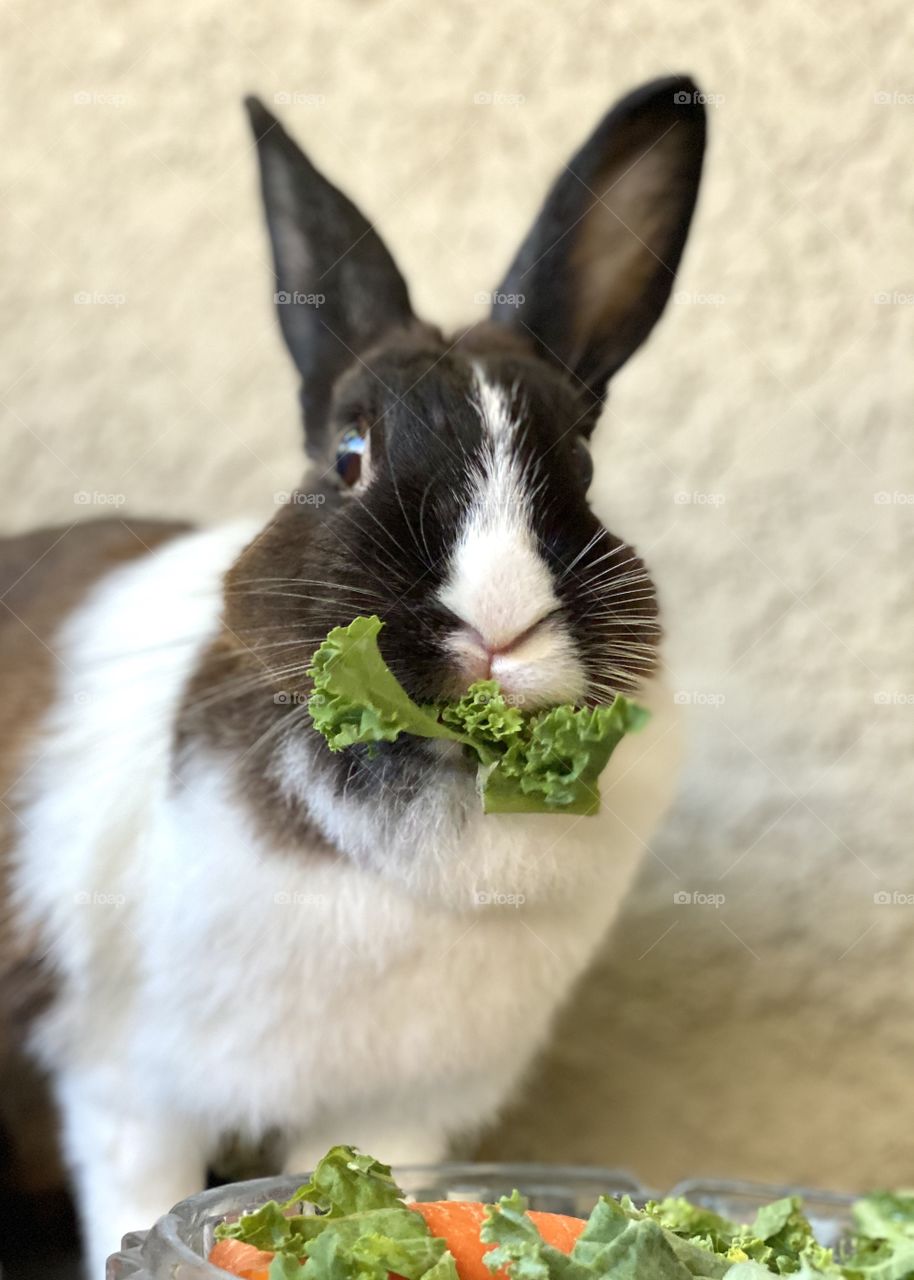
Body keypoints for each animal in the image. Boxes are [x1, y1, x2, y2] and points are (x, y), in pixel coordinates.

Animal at [0, 73, 705, 1277]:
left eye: (581, 465)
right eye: (348, 454)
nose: (498, 624)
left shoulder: (396, 1105)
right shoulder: (126, 1085)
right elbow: (136, 1193)